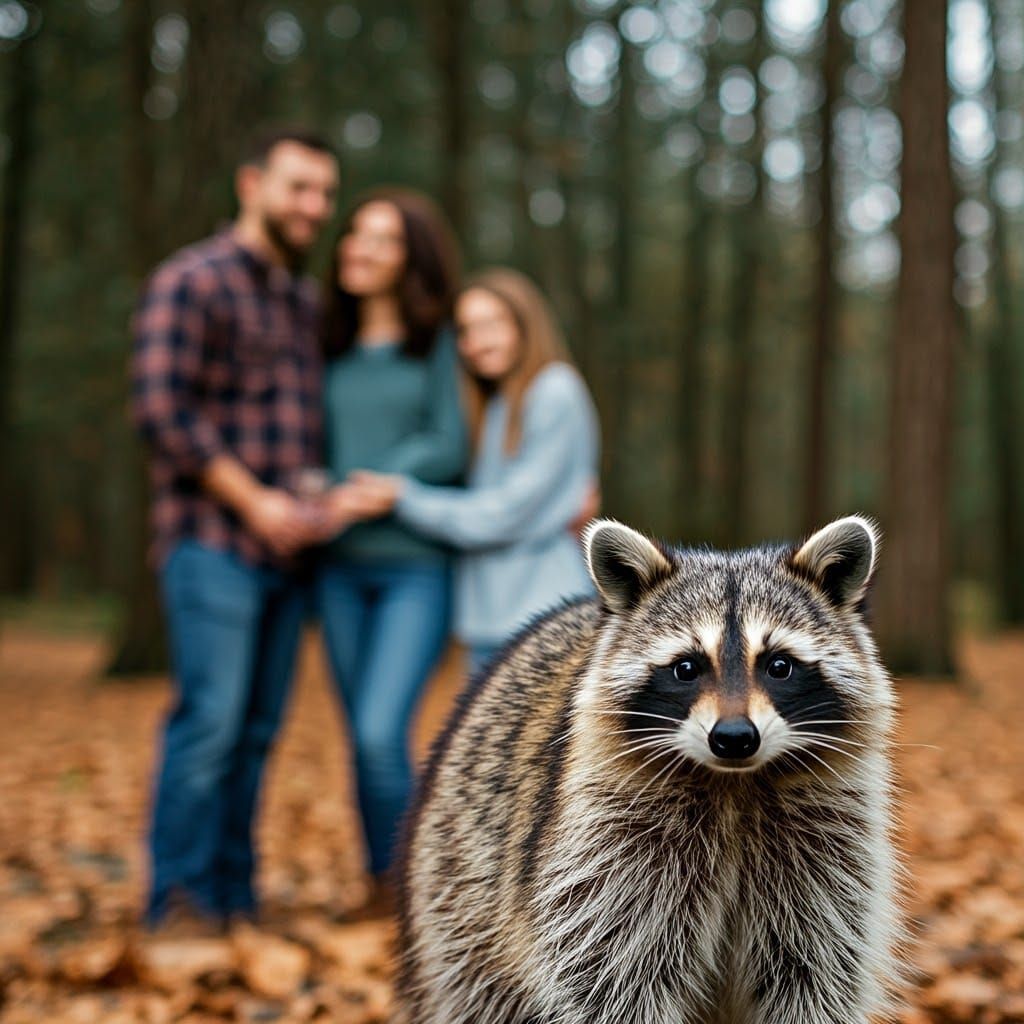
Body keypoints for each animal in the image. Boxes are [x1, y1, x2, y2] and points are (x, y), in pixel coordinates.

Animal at [395, 516, 902, 1024]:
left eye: (779, 665)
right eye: (686, 668)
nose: (735, 737)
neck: (733, 783)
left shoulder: (827, 852)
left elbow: (814, 973)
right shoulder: (606, 853)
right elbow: (611, 975)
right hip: (457, 902)